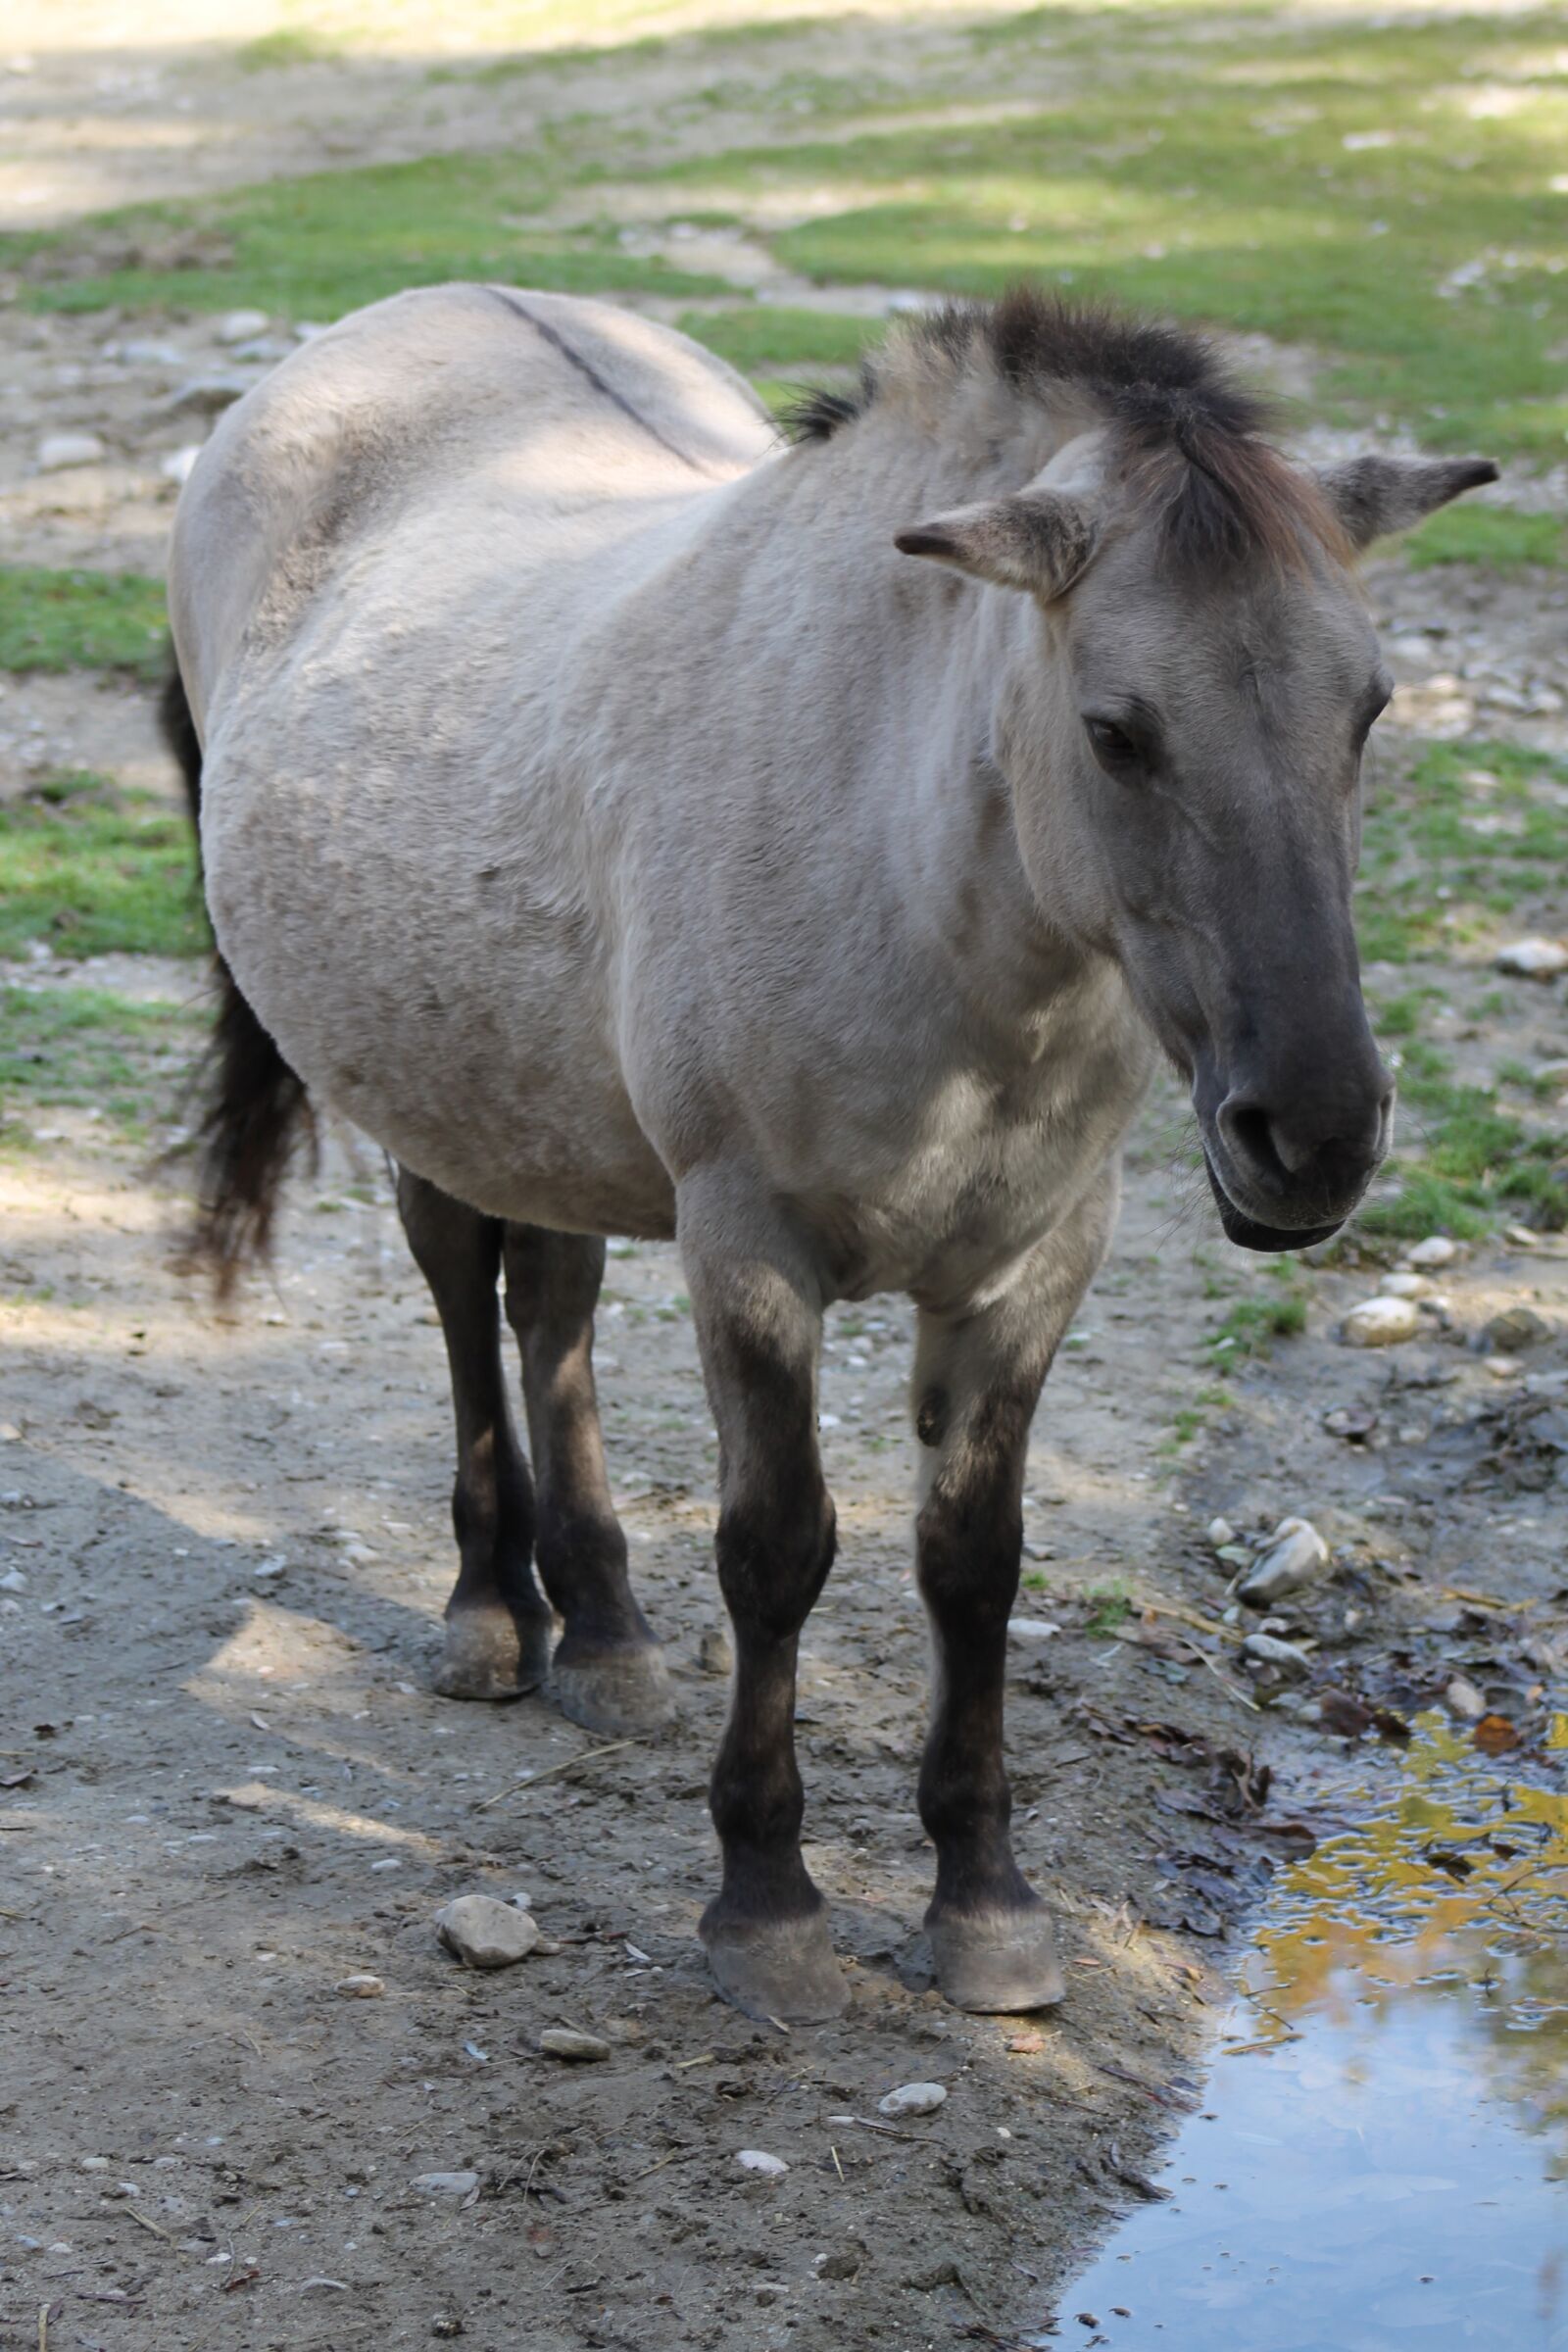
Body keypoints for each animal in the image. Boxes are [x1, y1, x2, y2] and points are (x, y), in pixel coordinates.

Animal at [166, 289, 1504, 2023]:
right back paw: (488, 1614)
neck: (912, 866)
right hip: (432, 1086)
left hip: (541, 1100)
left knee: (554, 1304)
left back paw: (603, 1631)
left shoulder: (1033, 1264)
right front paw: (770, 1905)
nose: (1317, 1132)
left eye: (1370, 709)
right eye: (1118, 733)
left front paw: (986, 1906)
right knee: (468, 1292)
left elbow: (973, 1565)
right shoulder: (749, 1249)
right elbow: (779, 1551)